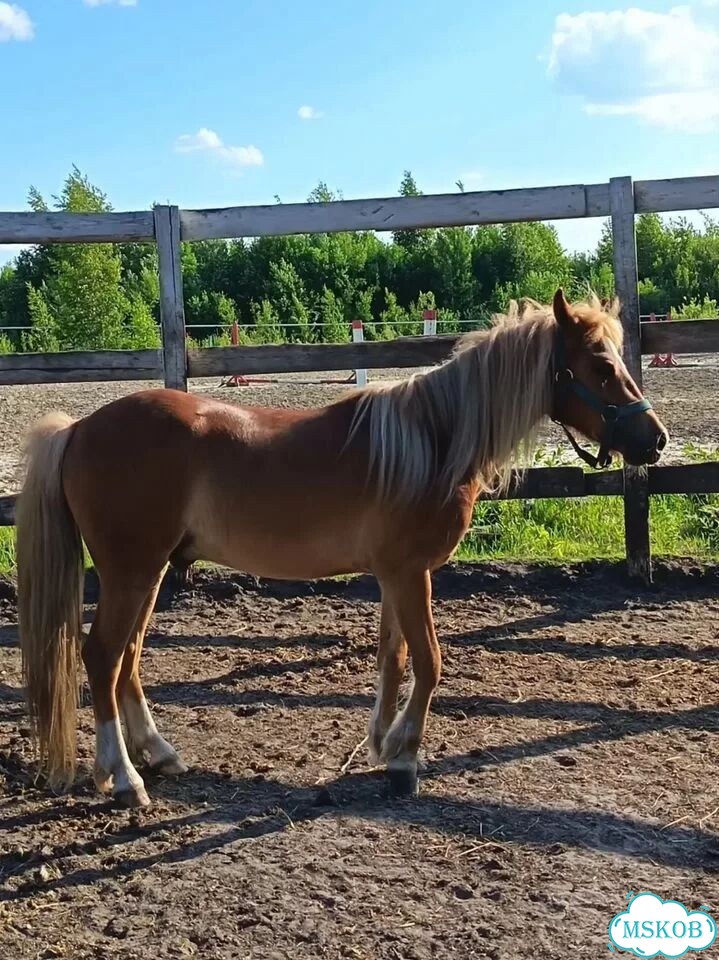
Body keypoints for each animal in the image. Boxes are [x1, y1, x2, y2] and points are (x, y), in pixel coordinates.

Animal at [16, 289, 668, 807]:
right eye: (600, 365)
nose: (656, 440)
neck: (432, 441)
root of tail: (77, 429)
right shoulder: (408, 573)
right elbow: (430, 661)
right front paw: (405, 759)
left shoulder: (396, 575)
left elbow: (394, 657)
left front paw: (384, 743)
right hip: (131, 571)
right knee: (102, 657)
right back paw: (125, 778)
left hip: (147, 573)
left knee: (126, 660)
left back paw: (157, 753)